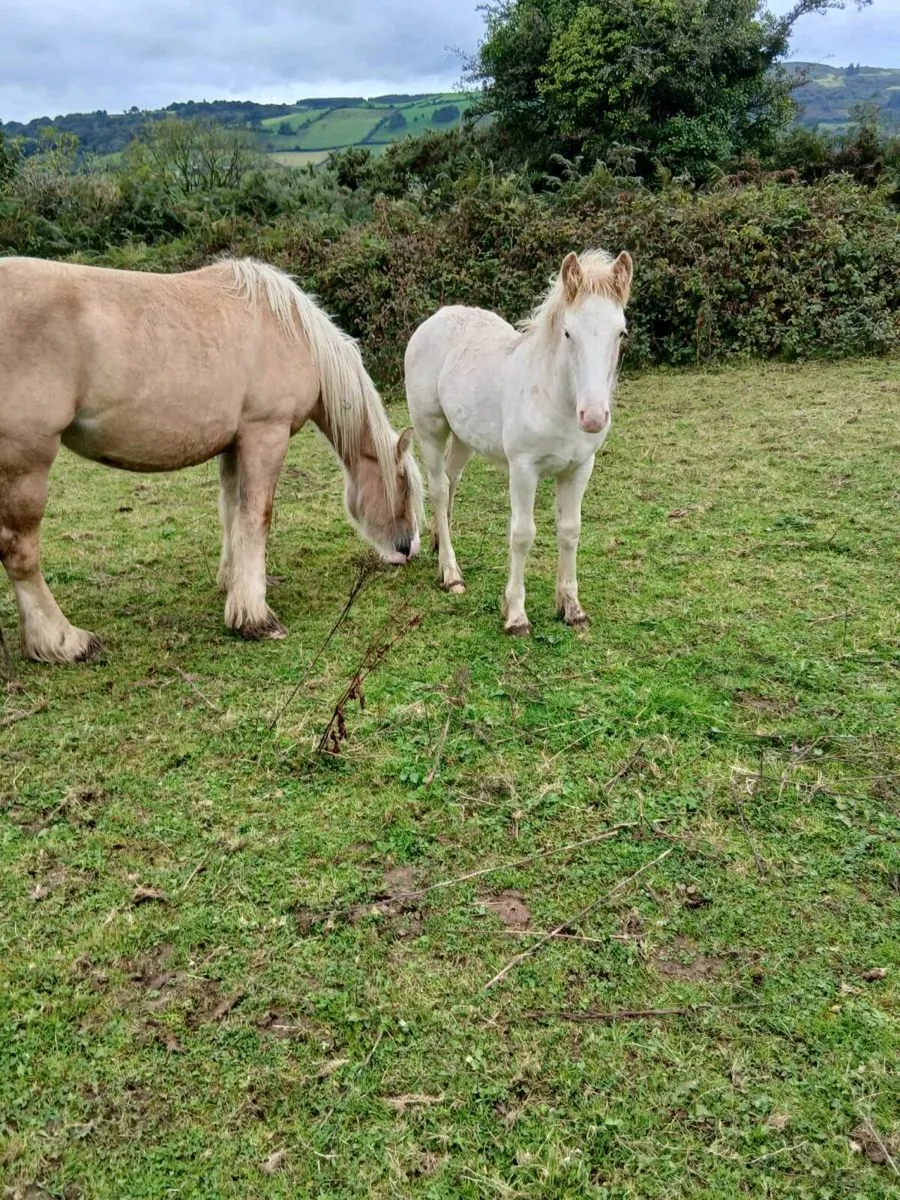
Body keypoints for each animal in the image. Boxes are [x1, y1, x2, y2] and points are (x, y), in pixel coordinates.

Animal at [0, 256, 422, 664]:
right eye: (403, 487)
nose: (408, 549)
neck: (291, 331)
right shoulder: (265, 434)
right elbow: (256, 517)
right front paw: (254, 617)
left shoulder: (234, 444)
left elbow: (232, 512)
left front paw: (235, 583)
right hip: (26, 464)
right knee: (20, 551)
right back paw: (63, 642)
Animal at [405, 249, 632, 636]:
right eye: (569, 333)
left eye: (620, 332)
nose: (593, 417)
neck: (556, 399)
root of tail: (436, 318)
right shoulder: (523, 469)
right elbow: (523, 534)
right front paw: (515, 615)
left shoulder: (579, 468)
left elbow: (570, 530)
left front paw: (572, 608)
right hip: (430, 429)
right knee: (437, 488)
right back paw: (451, 573)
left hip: (464, 436)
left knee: (451, 480)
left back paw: (438, 542)